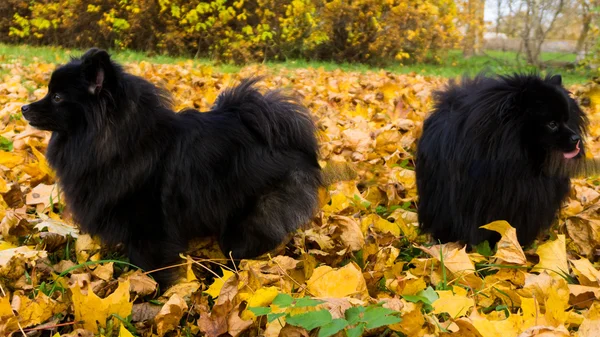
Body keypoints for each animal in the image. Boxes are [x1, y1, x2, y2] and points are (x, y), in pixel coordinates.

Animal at [22, 48, 324, 284]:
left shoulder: (150, 224)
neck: (118, 140)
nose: (24, 108)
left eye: (57, 98)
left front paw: (152, 295)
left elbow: (151, 264)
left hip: (252, 212)